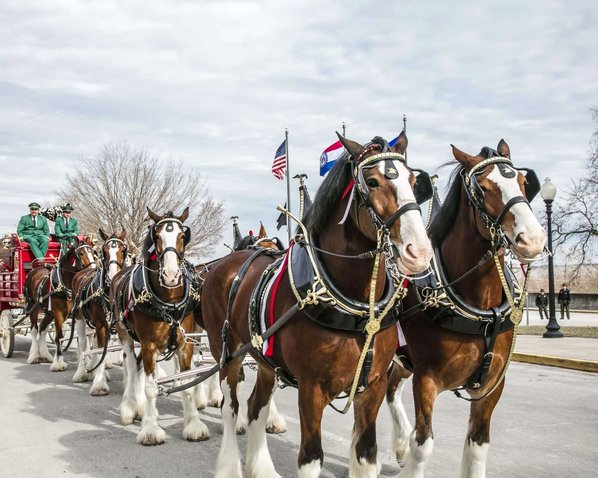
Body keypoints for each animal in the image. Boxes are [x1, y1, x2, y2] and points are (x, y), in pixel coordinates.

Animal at [25, 237, 96, 368]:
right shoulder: (58, 313)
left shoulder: (74, 313)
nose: (94, 270)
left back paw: (45, 355)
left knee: (42, 329)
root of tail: (34, 270)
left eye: (93, 253)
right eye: (80, 253)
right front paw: (58, 362)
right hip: (33, 307)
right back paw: (34, 356)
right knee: (34, 329)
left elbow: (80, 336)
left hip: (48, 313)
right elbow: (59, 336)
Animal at [72, 230, 129, 394]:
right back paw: (82, 372)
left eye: (123, 250)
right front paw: (99, 383)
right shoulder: (101, 324)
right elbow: (98, 349)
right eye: (104, 251)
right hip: (80, 318)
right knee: (83, 343)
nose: (113, 276)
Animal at [111, 207, 207, 446]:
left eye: (182, 236)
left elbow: (187, 384)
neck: (169, 300)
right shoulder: (149, 345)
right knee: (132, 366)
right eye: (157, 236)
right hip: (125, 334)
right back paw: (130, 407)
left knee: (138, 367)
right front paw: (151, 429)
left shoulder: (185, 344)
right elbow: (151, 388)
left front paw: (193, 424)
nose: (171, 276)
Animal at [199, 134, 434, 478]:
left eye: (415, 182)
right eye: (372, 182)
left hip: (266, 361)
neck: (358, 310)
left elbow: (366, 454)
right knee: (232, 409)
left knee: (256, 407)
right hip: (227, 352)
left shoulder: (374, 385)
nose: (419, 252)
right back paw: (230, 465)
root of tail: (222, 265)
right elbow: (311, 458)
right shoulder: (311, 389)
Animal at [390, 140, 548, 476]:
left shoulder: (492, 384)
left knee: (391, 389)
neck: (480, 304)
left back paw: (398, 446)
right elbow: (423, 444)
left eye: (524, 183)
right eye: (483, 188)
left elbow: (477, 446)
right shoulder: (427, 378)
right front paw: (412, 450)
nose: (532, 239)